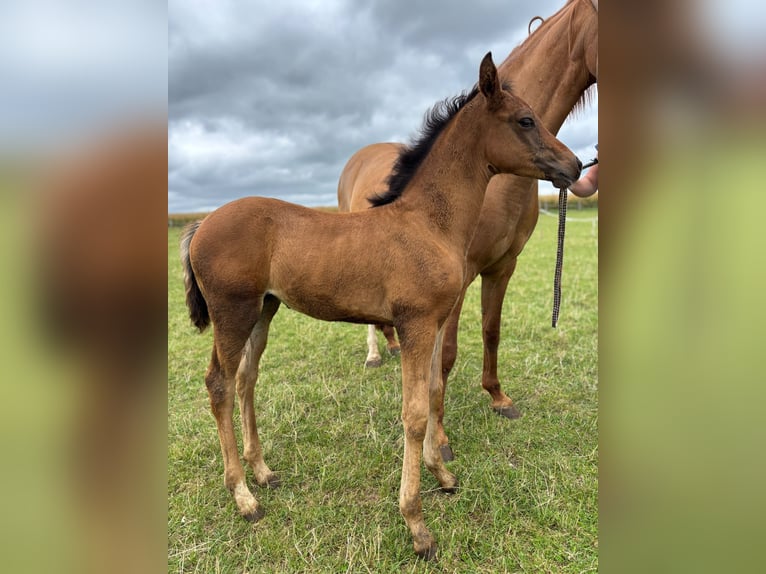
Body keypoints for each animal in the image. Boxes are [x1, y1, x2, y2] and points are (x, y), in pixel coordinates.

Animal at [181, 53, 581, 559]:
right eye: (526, 120)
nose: (575, 164)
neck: (429, 222)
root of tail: (201, 224)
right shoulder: (414, 325)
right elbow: (414, 414)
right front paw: (417, 525)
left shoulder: (435, 323)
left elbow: (433, 392)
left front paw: (443, 475)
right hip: (231, 313)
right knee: (219, 385)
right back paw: (244, 496)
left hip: (263, 310)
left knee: (245, 379)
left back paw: (263, 472)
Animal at [337, 0, 598, 461]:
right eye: (526, 121)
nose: (575, 166)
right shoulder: (461, 275)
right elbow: (445, 355)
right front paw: (438, 440)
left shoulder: (503, 266)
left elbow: (491, 331)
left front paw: (498, 398)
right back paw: (374, 355)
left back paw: (393, 345)